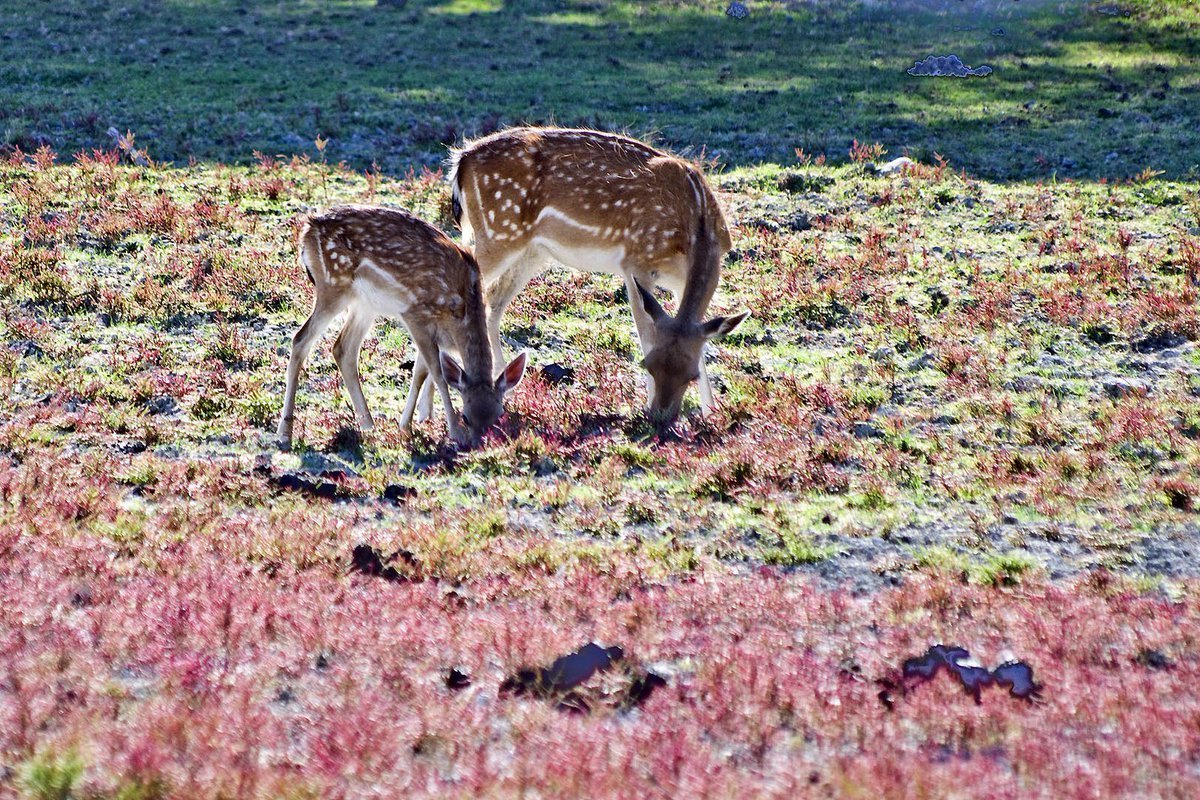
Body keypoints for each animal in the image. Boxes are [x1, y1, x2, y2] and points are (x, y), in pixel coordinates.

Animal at [280, 203, 530, 448]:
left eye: (499, 415)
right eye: (466, 416)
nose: (479, 445)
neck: (461, 313)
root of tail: (307, 230)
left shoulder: (436, 333)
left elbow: (420, 372)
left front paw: (406, 426)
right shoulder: (415, 314)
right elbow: (438, 374)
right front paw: (454, 432)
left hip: (364, 304)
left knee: (343, 349)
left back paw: (368, 425)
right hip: (333, 285)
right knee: (301, 339)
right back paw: (285, 432)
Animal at [436, 125, 744, 422]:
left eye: (691, 376)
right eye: (648, 366)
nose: (661, 417)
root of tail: (461, 159)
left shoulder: (680, 282)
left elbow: (700, 342)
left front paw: (710, 413)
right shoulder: (635, 262)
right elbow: (646, 336)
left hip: (531, 250)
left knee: (491, 304)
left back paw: (506, 393)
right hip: (498, 232)